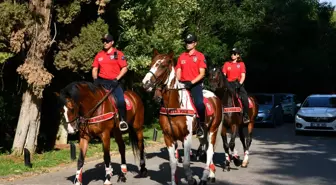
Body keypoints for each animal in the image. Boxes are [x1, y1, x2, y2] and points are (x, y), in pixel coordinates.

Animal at [142, 49, 223, 185]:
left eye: (163, 66)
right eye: (152, 64)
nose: (145, 83)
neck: (175, 105)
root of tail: (215, 97)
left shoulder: (187, 137)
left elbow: (185, 163)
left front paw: (191, 179)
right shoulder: (168, 137)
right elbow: (173, 163)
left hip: (213, 130)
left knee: (210, 151)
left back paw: (205, 177)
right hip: (203, 133)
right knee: (207, 149)